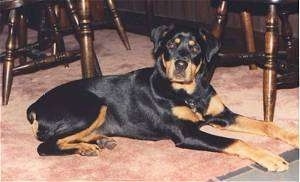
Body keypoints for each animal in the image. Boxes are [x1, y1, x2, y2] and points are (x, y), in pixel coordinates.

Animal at [27, 25, 298, 172]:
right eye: (171, 44)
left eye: (195, 47)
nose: (180, 64)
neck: (189, 92)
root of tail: (35, 106)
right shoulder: (185, 133)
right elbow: (237, 142)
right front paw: (271, 158)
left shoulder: (223, 115)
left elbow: (266, 124)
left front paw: (293, 137)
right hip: (92, 106)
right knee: (45, 146)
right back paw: (86, 148)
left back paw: (97, 143)